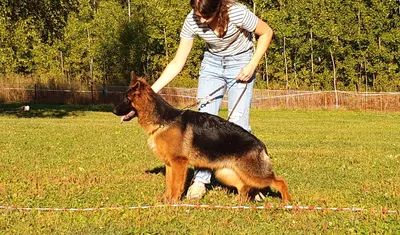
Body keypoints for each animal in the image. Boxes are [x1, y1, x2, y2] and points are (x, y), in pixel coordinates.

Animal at [112, 72, 290, 203]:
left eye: (126, 98)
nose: (113, 111)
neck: (164, 120)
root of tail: (260, 144)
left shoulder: (179, 163)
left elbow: (176, 184)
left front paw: (174, 202)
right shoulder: (170, 164)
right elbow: (169, 184)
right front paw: (166, 199)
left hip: (253, 174)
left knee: (280, 181)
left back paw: (287, 202)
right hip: (224, 172)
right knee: (244, 186)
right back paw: (239, 202)